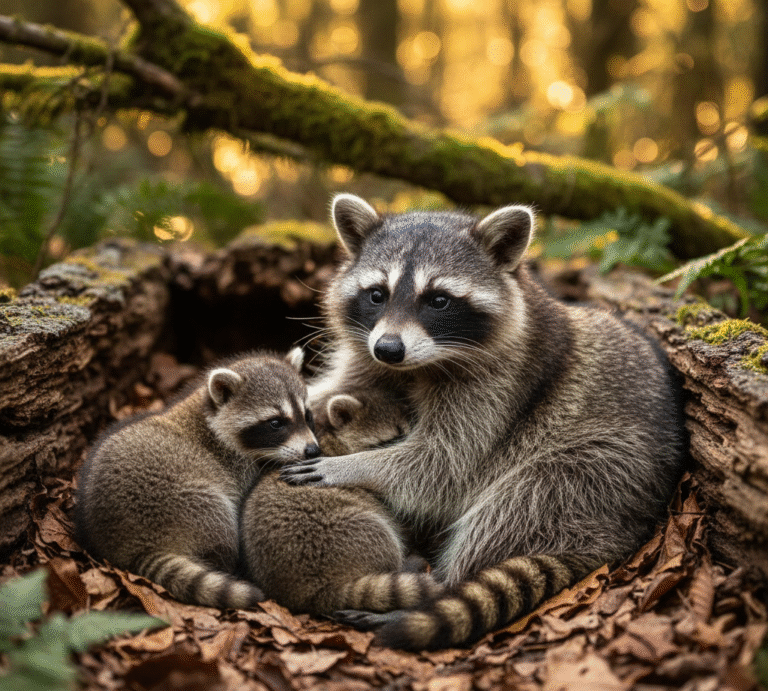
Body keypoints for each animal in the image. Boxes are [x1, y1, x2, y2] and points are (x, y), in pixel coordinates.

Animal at [76, 349, 319, 610]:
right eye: (275, 423)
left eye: (307, 415)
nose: (312, 450)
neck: (210, 414)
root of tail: (131, 547)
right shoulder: (235, 466)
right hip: (183, 504)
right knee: (219, 519)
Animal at [282, 194, 685, 649]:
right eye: (376, 295)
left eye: (438, 300)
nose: (389, 348)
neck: (421, 366)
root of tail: (630, 527)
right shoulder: (367, 359)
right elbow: (334, 389)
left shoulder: (503, 388)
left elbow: (443, 467)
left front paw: (351, 466)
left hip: (603, 468)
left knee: (518, 505)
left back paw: (438, 589)